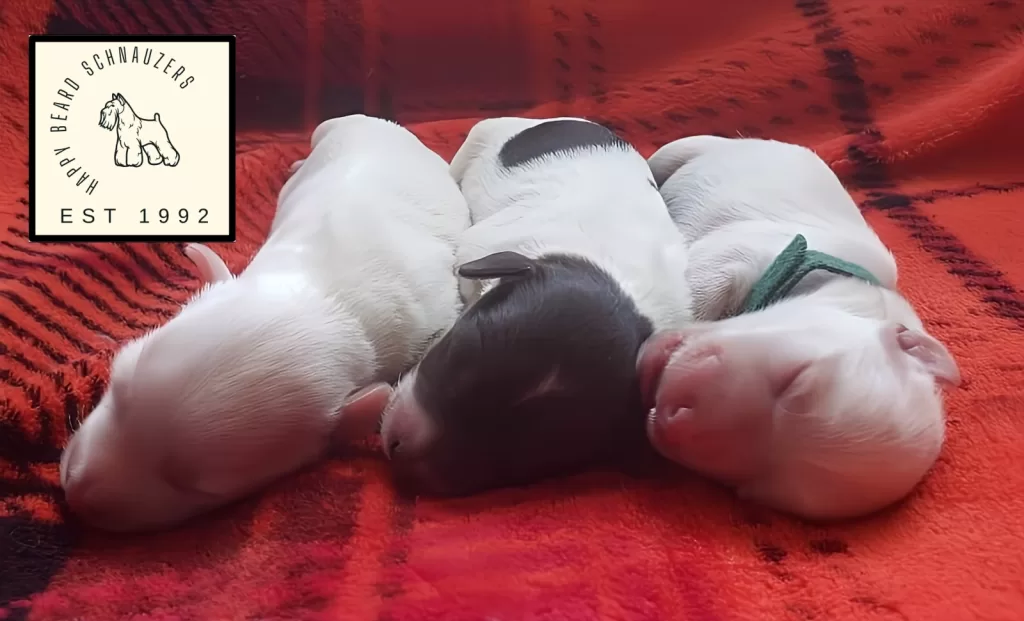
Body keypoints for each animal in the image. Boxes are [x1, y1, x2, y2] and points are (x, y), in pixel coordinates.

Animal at [372, 115, 692, 495]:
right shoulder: (480, 249)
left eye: (520, 459)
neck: (617, 273)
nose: (395, 447)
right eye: (455, 353)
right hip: (481, 138)